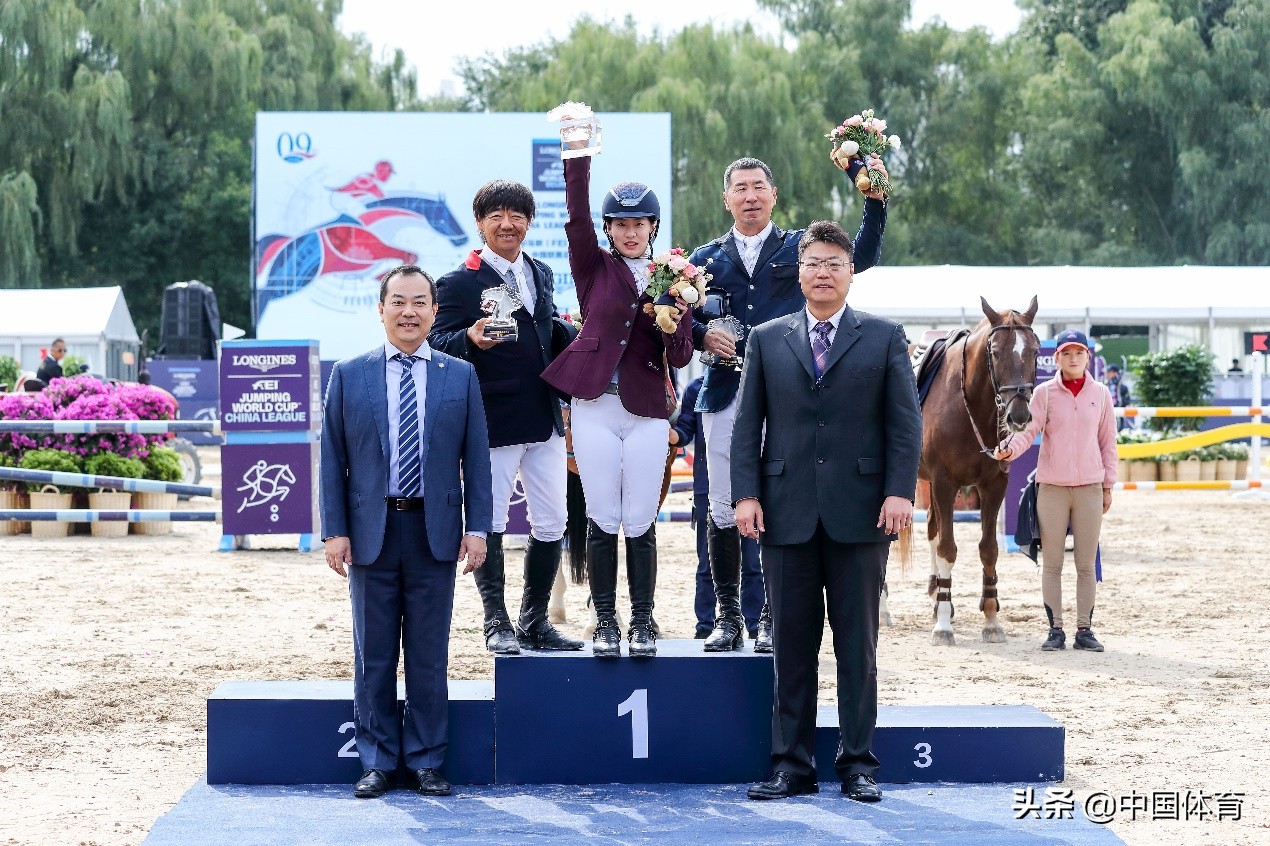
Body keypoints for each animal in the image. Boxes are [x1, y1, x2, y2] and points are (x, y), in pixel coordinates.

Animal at [919, 293, 1036, 642]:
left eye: (1035, 350)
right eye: (995, 353)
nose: (1018, 415)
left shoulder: (994, 485)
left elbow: (989, 549)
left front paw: (991, 619)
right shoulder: (944, 484)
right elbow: (948, 548)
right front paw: (943, 625)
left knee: (931, 528)